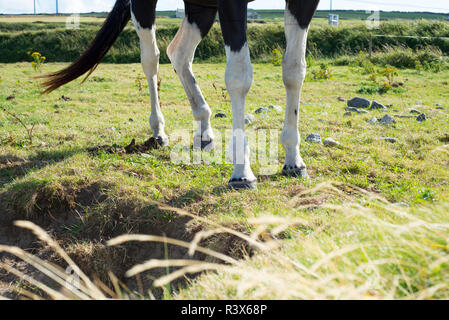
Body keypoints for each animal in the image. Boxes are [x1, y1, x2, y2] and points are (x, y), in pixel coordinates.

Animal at [38, 0, 318, 190]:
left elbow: (294, 70)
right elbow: (238, 76)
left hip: (200, 7)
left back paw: (203, 128)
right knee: (151, 59)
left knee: (179, 53)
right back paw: (158, 130)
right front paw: (241, 172)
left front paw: (294, 160)